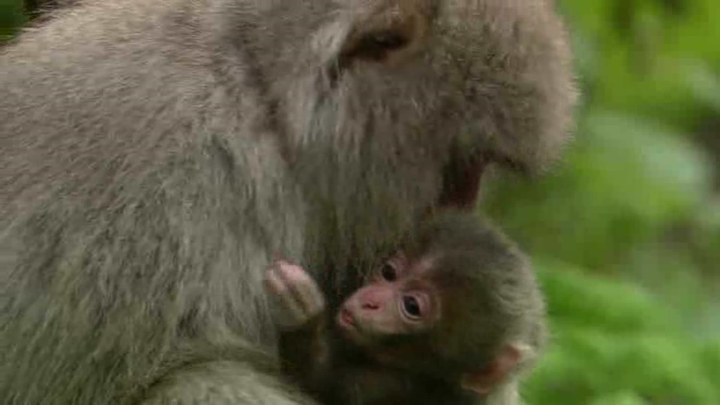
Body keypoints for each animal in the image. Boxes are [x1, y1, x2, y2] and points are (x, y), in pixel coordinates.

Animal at [266, 213, 544, 402]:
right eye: (389, 272)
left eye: (411, 306)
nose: (370, 302)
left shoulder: (395, 388)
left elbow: (316, 383)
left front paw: (302, 314)